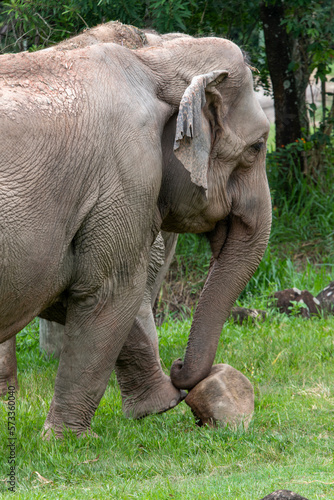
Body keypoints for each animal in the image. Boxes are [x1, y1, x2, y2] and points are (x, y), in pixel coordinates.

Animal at [0, 32, 272, 438]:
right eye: (257, 147)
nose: (179, 369)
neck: (152, 61)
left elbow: (70, 290)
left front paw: (157, 407)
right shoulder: (125, 173)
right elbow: (109, 290)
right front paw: (67, 441)